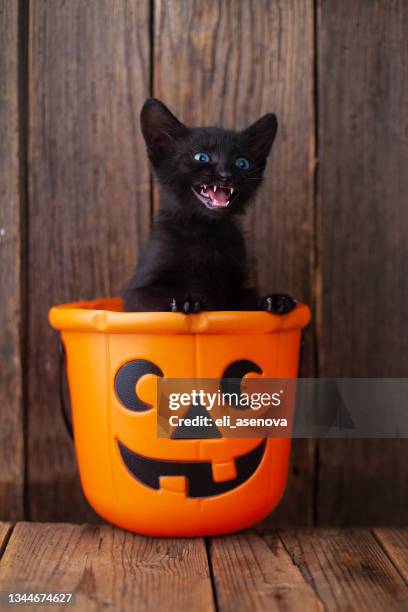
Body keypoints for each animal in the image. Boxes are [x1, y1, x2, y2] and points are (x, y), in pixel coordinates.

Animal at [122, 98, 294, 316]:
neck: (206, 231)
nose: (226, 174)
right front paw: (184, 301)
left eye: (242, 163)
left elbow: (246, 301)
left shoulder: (235, 291)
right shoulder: (136, 294)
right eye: (201, 157)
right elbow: (153, 298)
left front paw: (273, 300)